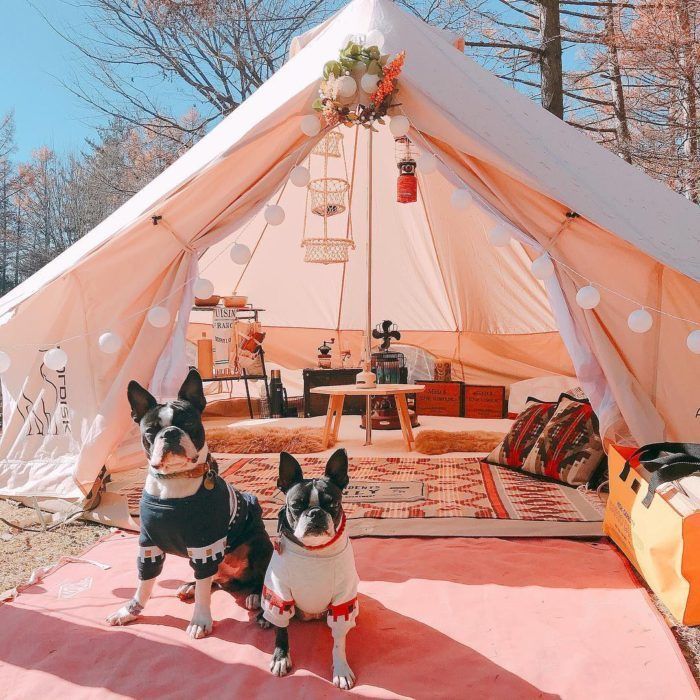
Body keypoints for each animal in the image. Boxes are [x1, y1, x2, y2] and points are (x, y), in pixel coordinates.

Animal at [106, 372, 274, 640]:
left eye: (188, 423)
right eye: (151, 430)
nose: (171, 433)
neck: (174, 482)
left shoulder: (205, 547)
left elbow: (204, 593)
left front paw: (200, 620)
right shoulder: (149, 545)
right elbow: (144, 582)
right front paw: (129, 611)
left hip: (259, 542)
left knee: (257, 574)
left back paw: (255, 595)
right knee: (213, 579)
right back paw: (190, 586)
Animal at [262, 448, 360, 688]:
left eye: (333, 504)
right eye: (297, 505)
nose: (315, 513)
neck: (314, 550)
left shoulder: (343, 599)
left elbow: (339, 641)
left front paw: (341, 669)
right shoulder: (279, 594)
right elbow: (281, 631)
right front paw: (281, 658)